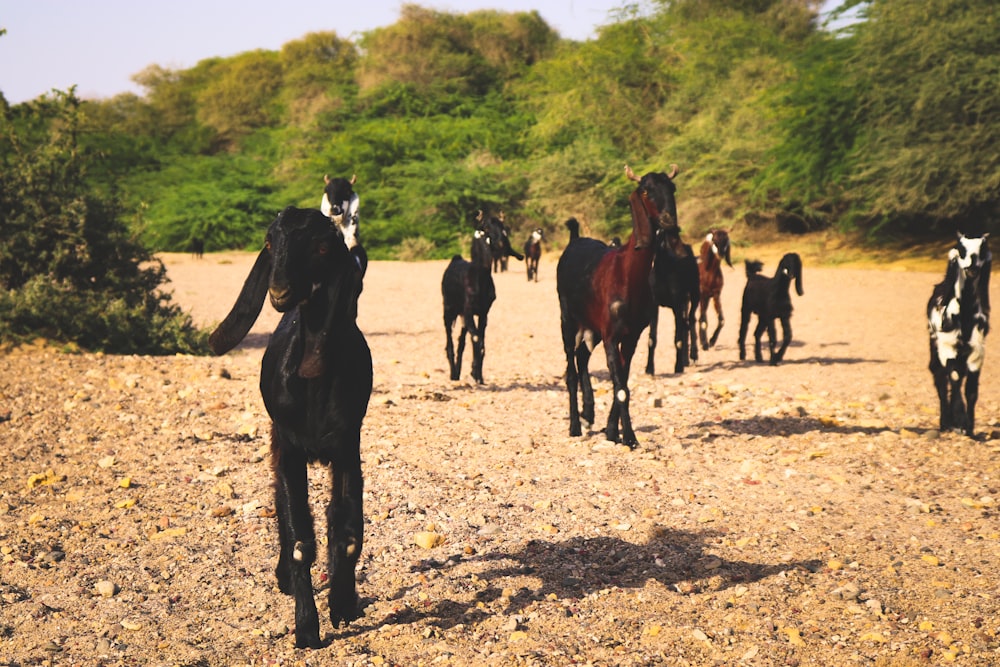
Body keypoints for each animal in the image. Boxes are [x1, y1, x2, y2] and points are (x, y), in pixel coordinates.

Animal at [210, 207, 372, 648]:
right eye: (270, 242)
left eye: (321, 247)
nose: (279, 292)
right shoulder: (290, 448)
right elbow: (299, 535)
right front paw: (306, 628)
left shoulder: (347, 447)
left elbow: (347, 531)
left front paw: (343, 604)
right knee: (281, 504)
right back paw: (283, 576)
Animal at [444, 214, 528, 380]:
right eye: (487, 228)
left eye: (503, 227)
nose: (501, 244)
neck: (479, 278)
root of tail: (455, 260)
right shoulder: (469, 311)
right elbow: (477, 339)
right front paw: (475, 372)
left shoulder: (483, 313)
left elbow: (481, 341)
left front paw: (478, 374)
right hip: (448, 310)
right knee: (449, 339)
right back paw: (453, 374)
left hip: (462, 317)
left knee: (462, 341)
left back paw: (458, 371)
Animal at [556, 163, 680, 448]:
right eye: (645, 190)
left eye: (672, 187)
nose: (669, 220)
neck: (626, 273)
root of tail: (574, 240)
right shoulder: (611, 334)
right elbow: (620, 388)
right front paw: (630, 438)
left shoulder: (631, 336)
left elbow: (622, 380)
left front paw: (613, 432)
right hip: (568, 320)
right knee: (570, 371)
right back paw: (575, 425)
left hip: (591, 326)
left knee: (582, 357)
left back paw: (589, 412)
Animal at [644, 224, 700, 378]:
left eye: (661, 234)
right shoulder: (654, 305)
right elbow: (652, 339)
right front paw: (649, 369)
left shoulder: (677, 304)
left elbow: (678, 338)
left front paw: (678, 366)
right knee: (686, 324)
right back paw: (686, 358)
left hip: (694, 295)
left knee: (691, 320)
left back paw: (693, 355)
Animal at [928, 232, 992, 436]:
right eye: (962, 249)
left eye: (982, 249)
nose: (972, 267)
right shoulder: (946, 347)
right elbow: (954, 378)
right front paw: (958, 421)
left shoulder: (977, 351)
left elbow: (971, 389)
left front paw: (968, 427)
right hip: (935, 346)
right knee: (940, 378)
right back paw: (945, 423)